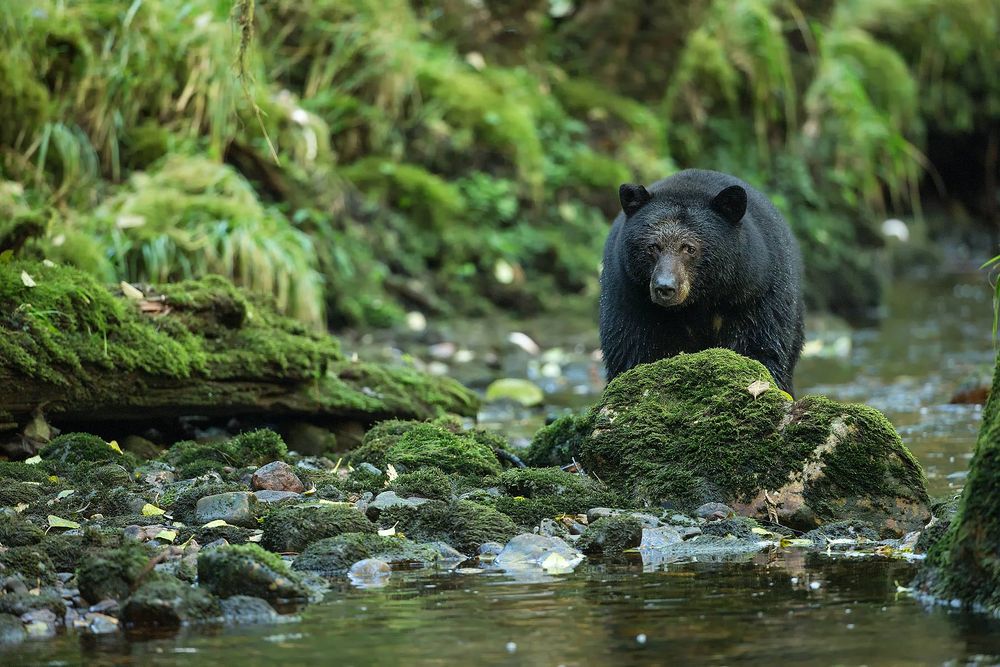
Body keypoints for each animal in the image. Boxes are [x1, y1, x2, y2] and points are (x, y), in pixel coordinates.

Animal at [599, 169, 804, 395]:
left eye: (689, 248)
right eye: (652, 247)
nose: (664, 288)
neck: (699, 300)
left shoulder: (755, 293)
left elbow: (760, 346)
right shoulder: (631, 296)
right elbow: (631, 348)